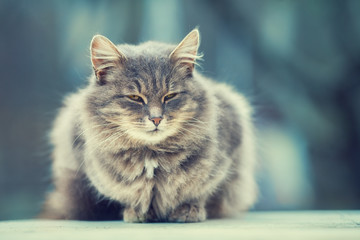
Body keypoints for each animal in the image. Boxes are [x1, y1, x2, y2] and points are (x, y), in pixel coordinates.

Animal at [40, 29, 258, 222]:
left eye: (170, 96)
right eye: (135, 98)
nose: (156, 119)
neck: (152, 155)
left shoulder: (224, 164)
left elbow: (201, 193)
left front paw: (189, 210)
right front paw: (137, 212)